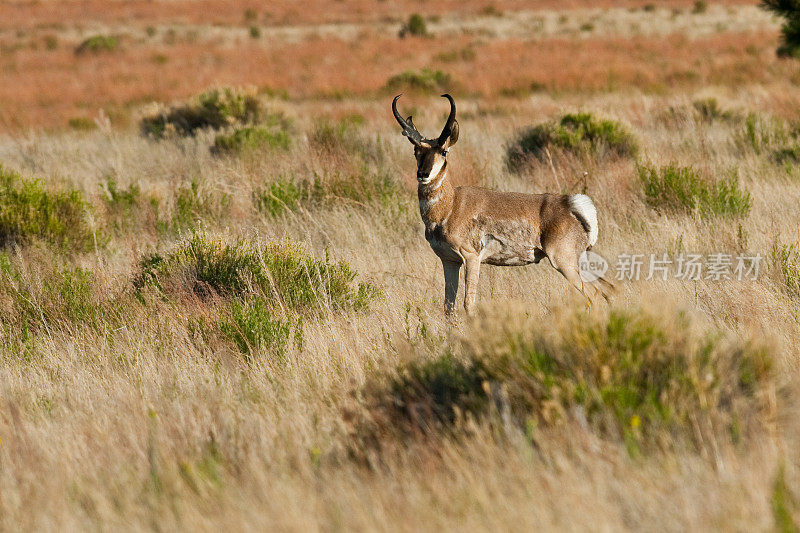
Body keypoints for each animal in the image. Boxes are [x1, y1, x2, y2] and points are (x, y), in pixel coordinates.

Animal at [392, 93, 612, 314]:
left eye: (444, 151)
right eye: (415, 151)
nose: (423, 174)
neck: (451, 206)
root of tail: (571, 204)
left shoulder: (471, 257)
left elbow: (468, 303)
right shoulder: (449, 260)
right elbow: (448, 306)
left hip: (564, 262)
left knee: (594, 295)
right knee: (608, 290)